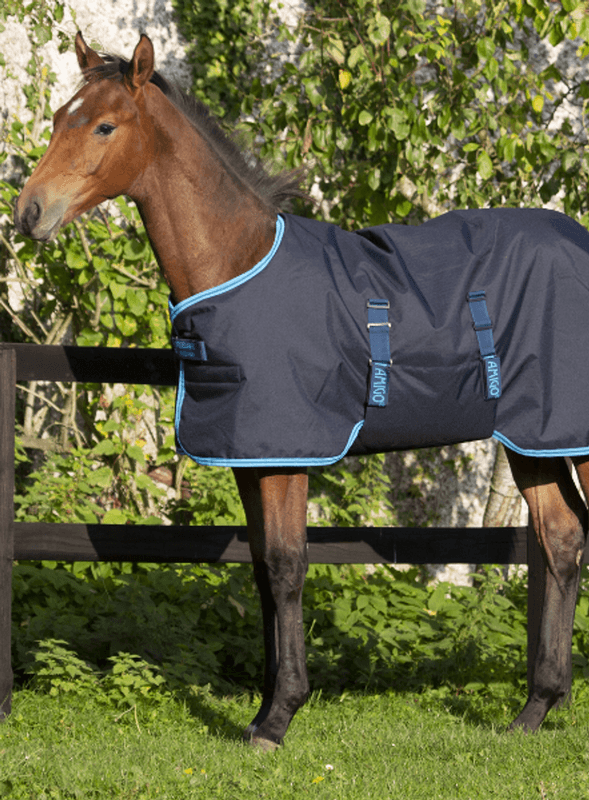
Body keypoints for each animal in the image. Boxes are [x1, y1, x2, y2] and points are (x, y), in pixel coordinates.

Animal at [14, 32, 589, 749]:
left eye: (104, 126)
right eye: (58, 116)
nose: (29, 212)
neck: (237, 264)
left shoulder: (288, 457)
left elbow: (288, 567)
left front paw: (279, 717)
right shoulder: (249, 460)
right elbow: (262, 570)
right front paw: (263, 710)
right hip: (534, 441)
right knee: (560, 544)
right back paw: (534, 710)